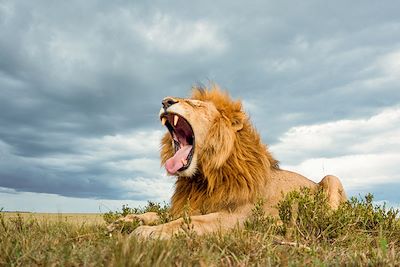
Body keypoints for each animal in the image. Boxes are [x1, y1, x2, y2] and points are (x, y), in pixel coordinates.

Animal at [108, 85, 346, 239]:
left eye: (196, 104)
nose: (166, 101)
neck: (201, 178)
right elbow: (158, 214)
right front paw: (125, 221)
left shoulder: (242, 216)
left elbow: (191, 221)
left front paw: (147, 231)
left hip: (331, 179)